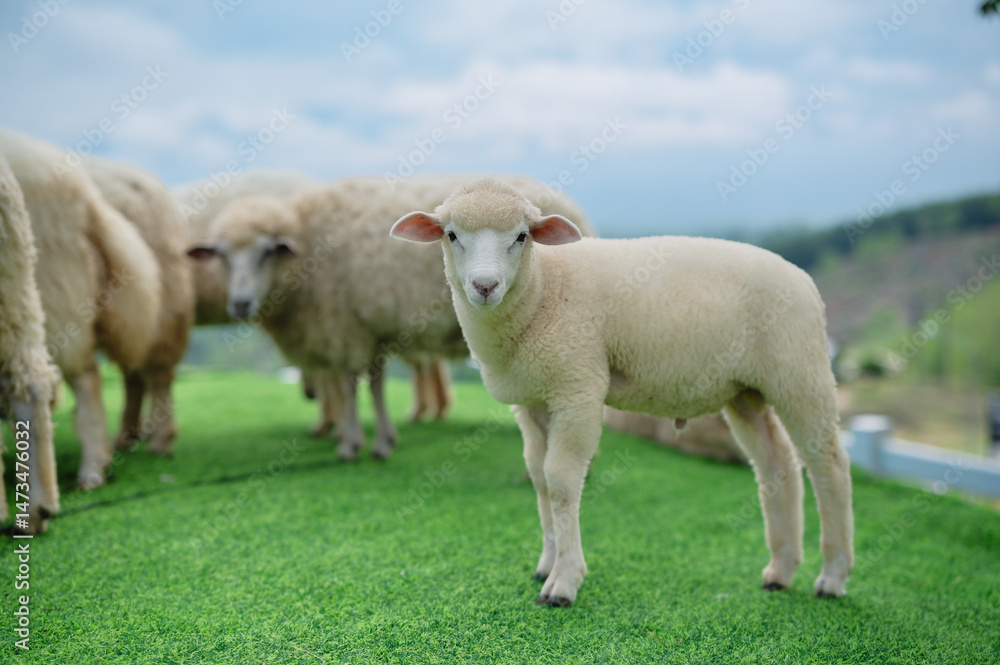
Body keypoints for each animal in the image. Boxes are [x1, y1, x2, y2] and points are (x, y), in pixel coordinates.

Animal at [189, 175, 591, 460]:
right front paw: (382, 440)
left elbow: (350, 384)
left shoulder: (345, 326)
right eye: (221, 256)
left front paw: (352, 444)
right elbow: (376, 383)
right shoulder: (372, 329)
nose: (240, 304)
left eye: (267, 252)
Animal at [390, 177, 854, 607]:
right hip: (746, 391)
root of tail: (803, 279)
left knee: (828, 464)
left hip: (799, 370)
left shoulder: (577, 386)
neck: (544, 288)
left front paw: (564, 582)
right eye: (452, 235)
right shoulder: (533, 398)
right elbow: (539, 478)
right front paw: (546, 564)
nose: (485, 286)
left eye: (522, 236)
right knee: (777, 465)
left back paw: (832, 576)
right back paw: (781, 571)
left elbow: (561, 479)